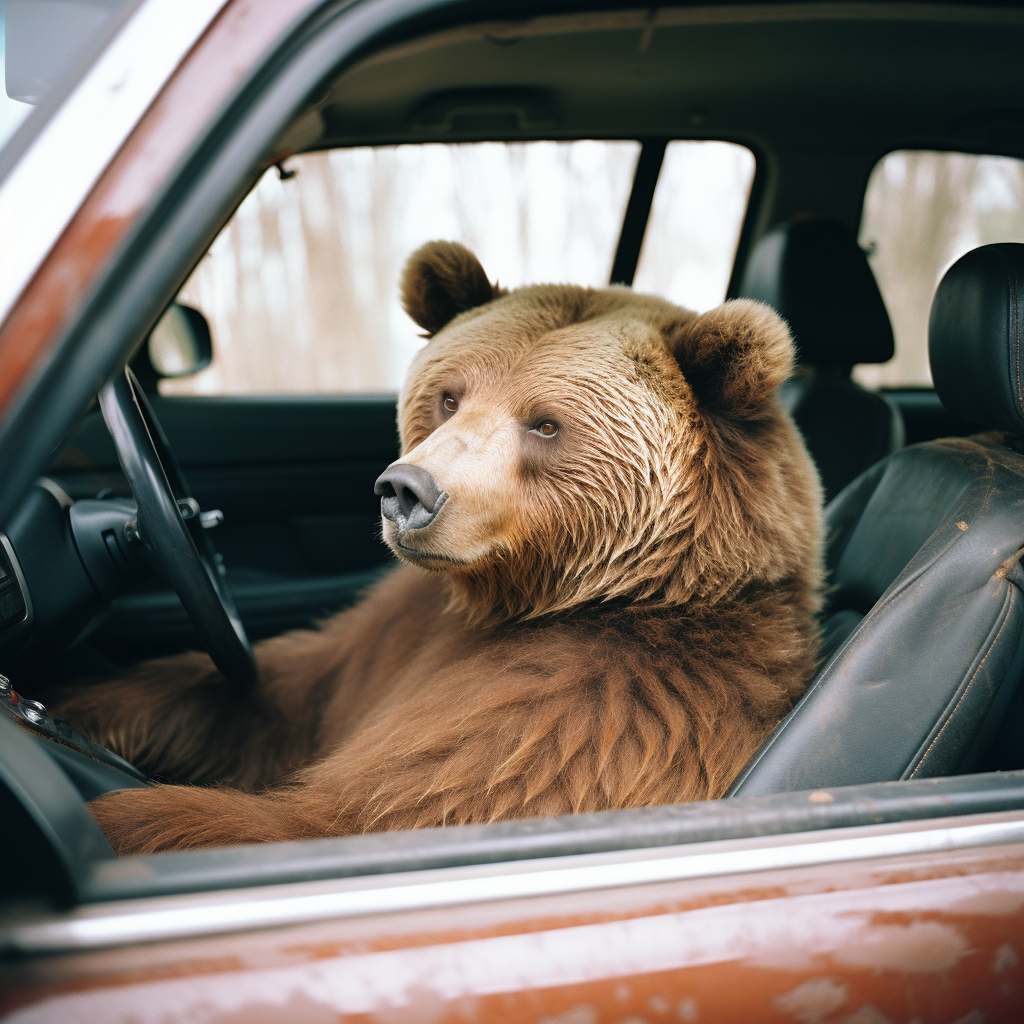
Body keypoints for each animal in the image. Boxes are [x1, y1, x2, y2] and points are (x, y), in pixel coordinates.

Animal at [58, 241, 823, 856]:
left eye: (546, 424)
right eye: (450, 396)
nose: (406, 490)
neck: (515, 599)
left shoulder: (597, 708)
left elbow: (363, 812)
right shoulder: (391, 639)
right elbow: (262, 698)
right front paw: (75, 706)